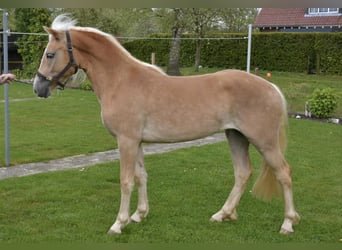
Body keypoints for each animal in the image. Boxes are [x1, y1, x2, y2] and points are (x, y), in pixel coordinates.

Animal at [32, 15, 300, 234]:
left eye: (50, 54)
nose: (38, 88)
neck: (120, 80)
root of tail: (271, 87)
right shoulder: (137, 142)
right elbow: (141, 176)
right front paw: (138, 215)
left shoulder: (126, 141)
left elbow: (126, 181)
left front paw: (119, 223)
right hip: (235, 136)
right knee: (243, 173)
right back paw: (222, 214)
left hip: (264, 142)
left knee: (284, 173)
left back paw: (287, 223)